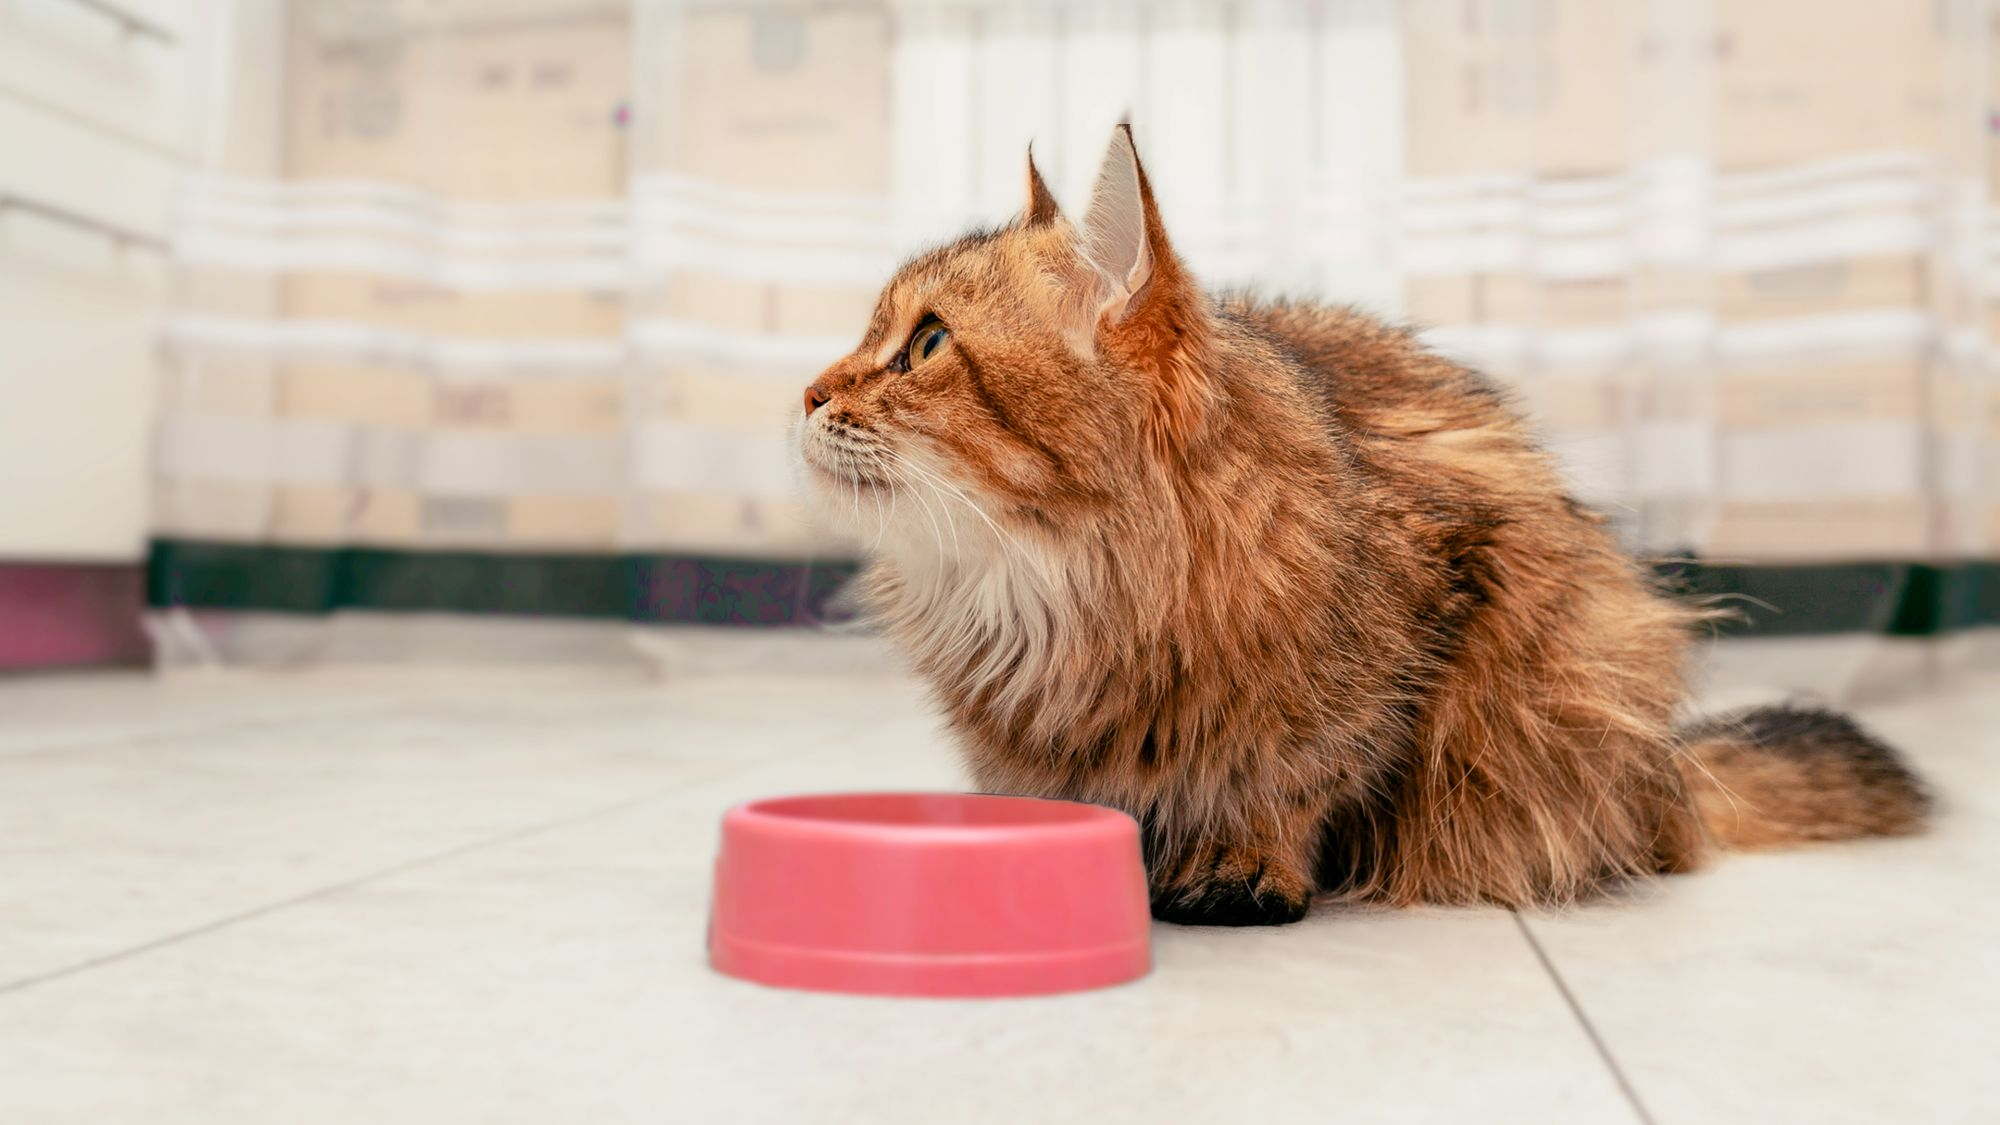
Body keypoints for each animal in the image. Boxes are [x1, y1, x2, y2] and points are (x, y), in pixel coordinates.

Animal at [788, 127, 1928, 924]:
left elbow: (1306, 775)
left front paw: (1245, 864)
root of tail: (1673, 777)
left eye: (926, 344)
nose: (806, 392)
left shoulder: (1434, 605)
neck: (1051, 585)